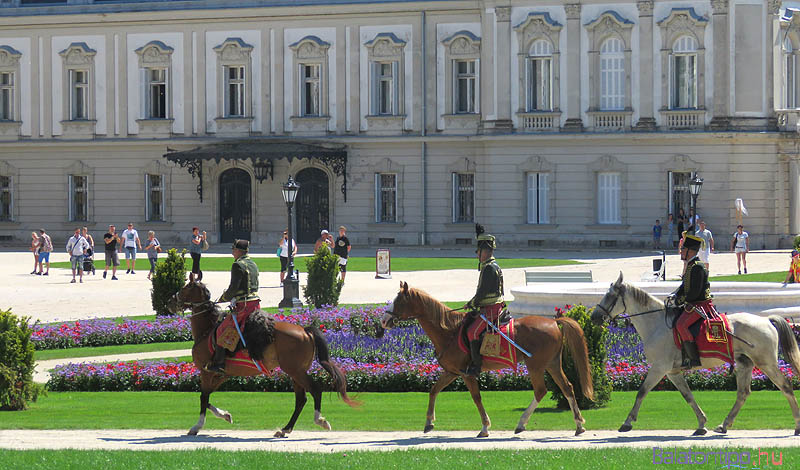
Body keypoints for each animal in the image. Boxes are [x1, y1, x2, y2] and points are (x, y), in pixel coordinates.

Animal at [169, 280, 356, 436]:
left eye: (186, 287)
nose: (171, 300)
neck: (207, 330)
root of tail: (305, 330)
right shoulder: (222, 374)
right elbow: (206, 397)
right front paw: (225, 415)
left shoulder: (206, 372)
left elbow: (203, 398)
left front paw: (197, 426)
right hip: (295, 373)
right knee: (301, 399)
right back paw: (285, 428)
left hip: (295, 371)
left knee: (315, 390)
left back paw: (319, 420)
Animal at [382, 280, 592, 436]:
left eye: (399, 300)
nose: (384, 320)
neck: (450, 331)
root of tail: (554, 322)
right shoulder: (452, 372)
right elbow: (434, 390)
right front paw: (429, 422)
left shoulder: (467, 373)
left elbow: (476, 397)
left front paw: (484, 426)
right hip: (552, 364)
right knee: (567, 387)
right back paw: (578, 424)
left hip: (535, 366)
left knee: (540, 391)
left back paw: (521, 423)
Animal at [592, 274, 800, 436]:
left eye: (609, 296)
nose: (594, 317)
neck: (656, 323)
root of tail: (766, 319)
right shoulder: (673, 372)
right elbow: (688, 396)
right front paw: (701, 423)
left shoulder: (660, 368)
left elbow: (642, 391)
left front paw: (628, 422)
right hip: (745, 363)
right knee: (743, 393)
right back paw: (724, 425)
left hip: (766, 363)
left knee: (786, 387)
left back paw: (797, 425)